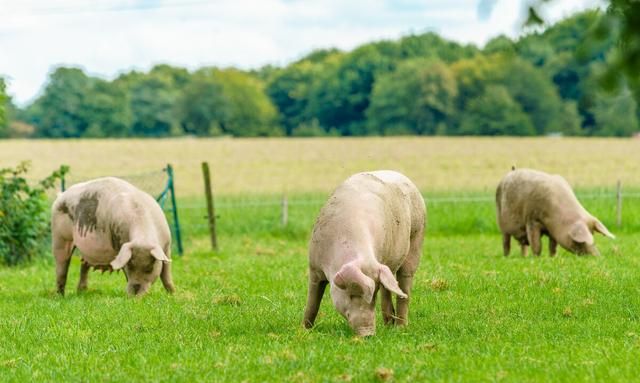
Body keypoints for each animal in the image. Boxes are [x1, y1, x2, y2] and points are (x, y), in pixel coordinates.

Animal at [304, 171, 428, 336]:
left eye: (373, 296)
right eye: (352, 295)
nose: (368, 333)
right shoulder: (314, 267)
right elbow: (312, 303)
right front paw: (304, 329)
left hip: (417, 237)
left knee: (404, 286)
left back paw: (400, 328)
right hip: (386, 266)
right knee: (388, 288)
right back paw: (389, 325)